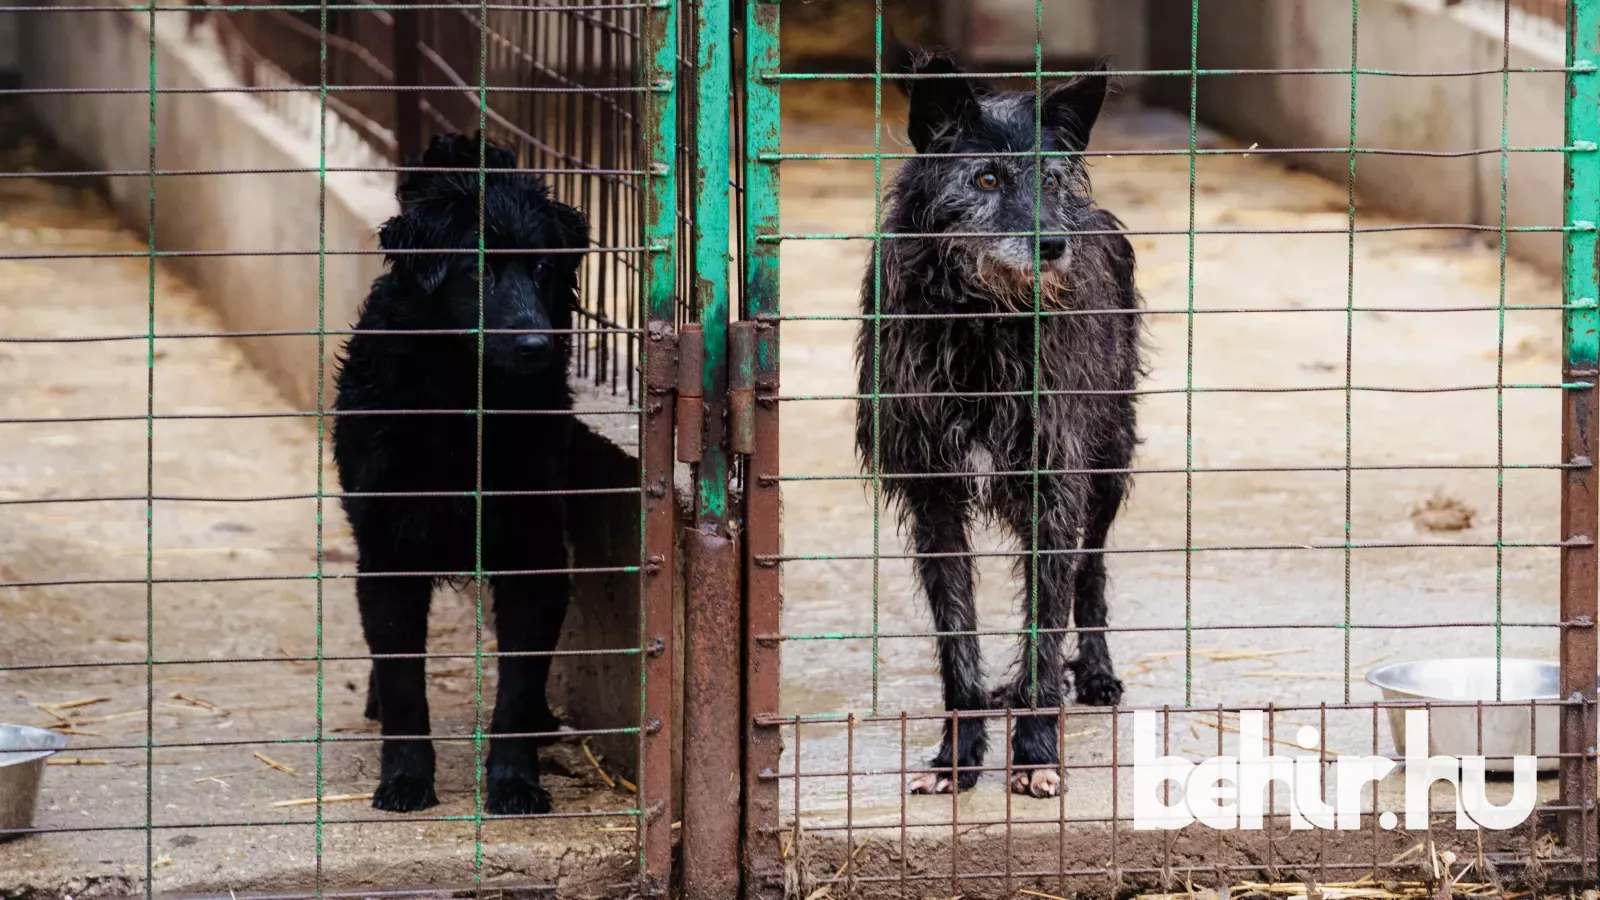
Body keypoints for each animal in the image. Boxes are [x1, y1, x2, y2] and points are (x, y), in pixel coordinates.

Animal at [331, 132, 588, 813]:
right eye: (479, 270)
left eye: (543, 269)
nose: (535, 347)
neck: (463, 407)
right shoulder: (388, 554)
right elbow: (404, 686)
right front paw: (405, 779)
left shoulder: (535, 556)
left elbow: (517, 689)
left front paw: (515, 782)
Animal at [857, 49, 1145, 791]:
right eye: (985, 178)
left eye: (1051, 179)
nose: (1054, 245)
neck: (982, 321)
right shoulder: (933, 495)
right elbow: (956, 635)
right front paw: (959, 755)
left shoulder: (1055, 487)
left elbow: (1046, 624)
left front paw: (1037, 751)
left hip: (1108, 460)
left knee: (1090, 573)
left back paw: (1093, 673)